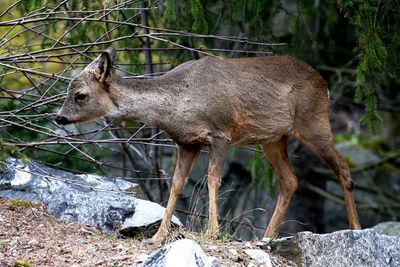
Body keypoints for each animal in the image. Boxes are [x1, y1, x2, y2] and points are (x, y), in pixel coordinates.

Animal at [54, 47, 360, 242]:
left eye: (80, 95)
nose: (59, 117)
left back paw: (355, 229)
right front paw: (158, 235)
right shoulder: (186, 143)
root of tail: (324, 82)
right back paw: (266, 236)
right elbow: (176, 185)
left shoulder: (221, 134)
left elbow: (213, 180)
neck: (179, 104)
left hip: (314, 121)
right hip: (273, 139)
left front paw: (212, 231)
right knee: (290, 181)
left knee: (343, 169)